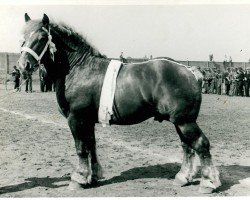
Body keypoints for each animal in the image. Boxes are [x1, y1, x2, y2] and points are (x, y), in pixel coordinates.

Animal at [17, 13, 221, 193]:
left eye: (42, 37)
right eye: (23, 38)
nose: (22, 65)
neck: (79, 69)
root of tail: (189, 70)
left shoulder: (76, 118)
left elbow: (81, 148)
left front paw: (79, 178)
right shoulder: (88, 120)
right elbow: (91, 145)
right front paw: (93, 176)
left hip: (185, 121)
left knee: (201, 144)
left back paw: (208, 183)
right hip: (179, 121)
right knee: (187, 146)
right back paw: (183, 178)